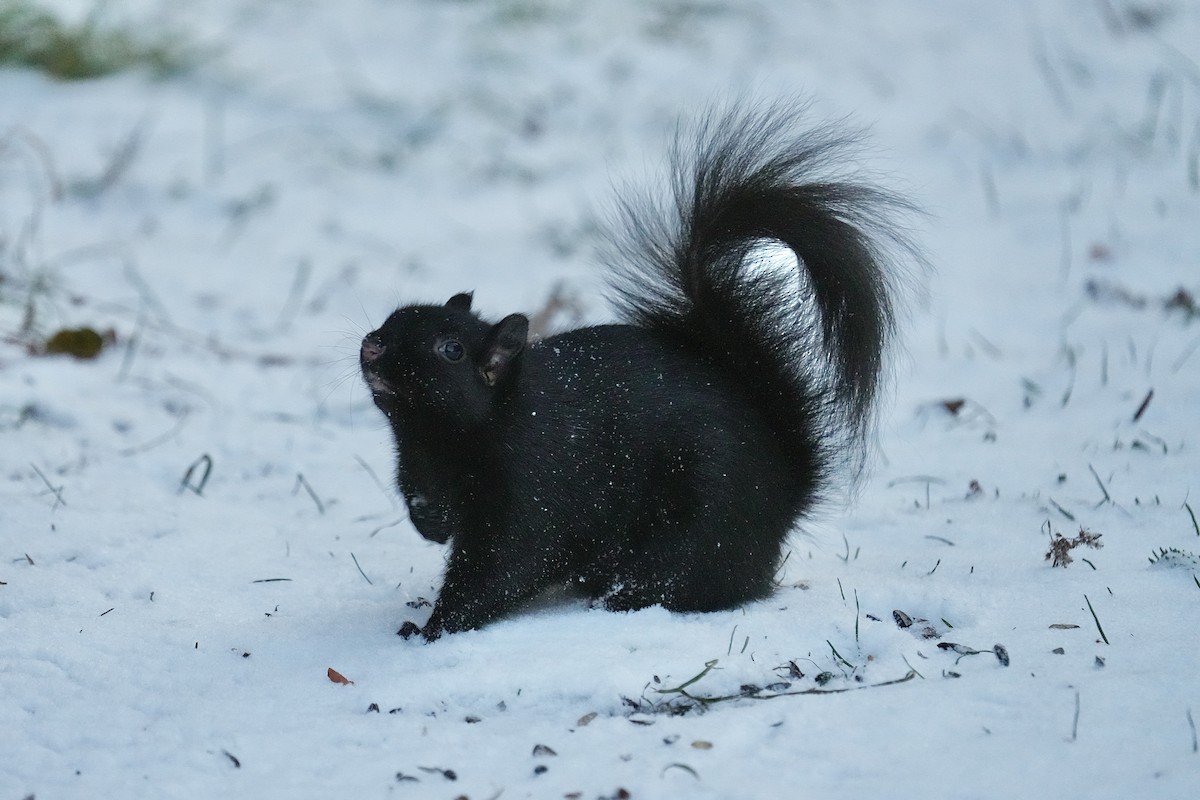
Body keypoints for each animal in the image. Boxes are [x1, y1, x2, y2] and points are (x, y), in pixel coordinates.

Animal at [360, 103, 916, 641]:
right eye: (394, 316)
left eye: (450, 349)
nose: (373, 343)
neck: (439, 437)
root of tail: (784, 494)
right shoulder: (421, 468)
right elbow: (431, 513)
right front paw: (430, 526)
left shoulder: (533, 487)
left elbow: (505, 564)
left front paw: (437, 628)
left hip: (698, 523)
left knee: (693, 580)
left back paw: (621, 601)